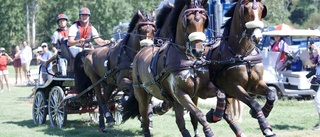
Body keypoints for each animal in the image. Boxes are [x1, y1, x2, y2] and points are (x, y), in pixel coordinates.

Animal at [122, 0, 225, 136]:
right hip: (142, 95)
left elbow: (220, 94)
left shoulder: (200, 91)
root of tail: (140, 53)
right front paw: (209, 131)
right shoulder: (180, 93)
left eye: (204, 19)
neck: (189, 59)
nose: (198, 50)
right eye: (187, 20)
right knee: (145, 118)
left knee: (179, 121)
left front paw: (216, 115)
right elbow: (198, 114)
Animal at [204, 0, 276, 136]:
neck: (243, 55)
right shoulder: (234, 87)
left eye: (261, 9)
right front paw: (266, 127)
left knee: (227, 113)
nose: (257, 37)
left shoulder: (255, 84)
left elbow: (271, 95)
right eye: (246, 10)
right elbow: (254, 103)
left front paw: (262, 113)